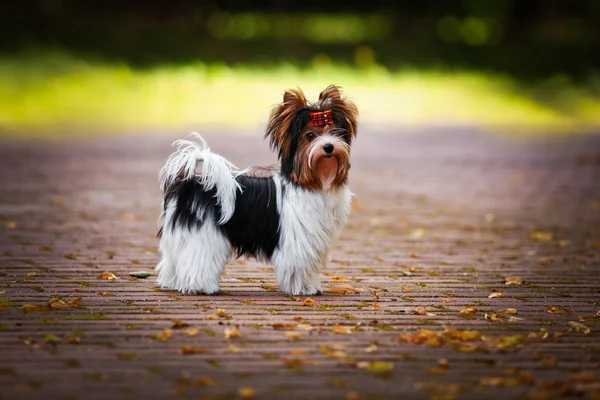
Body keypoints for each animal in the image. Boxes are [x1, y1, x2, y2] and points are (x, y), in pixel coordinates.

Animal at [157, 84, 358, 296]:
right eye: (310, 135)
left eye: (335, 132)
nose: (328, 147)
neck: (315, 182)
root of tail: (190, 183)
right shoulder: (298, 243)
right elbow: (298, 267)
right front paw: (302, 289)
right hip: (204, 234)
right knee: (198, 260)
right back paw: (202, 287)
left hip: (179, 237)